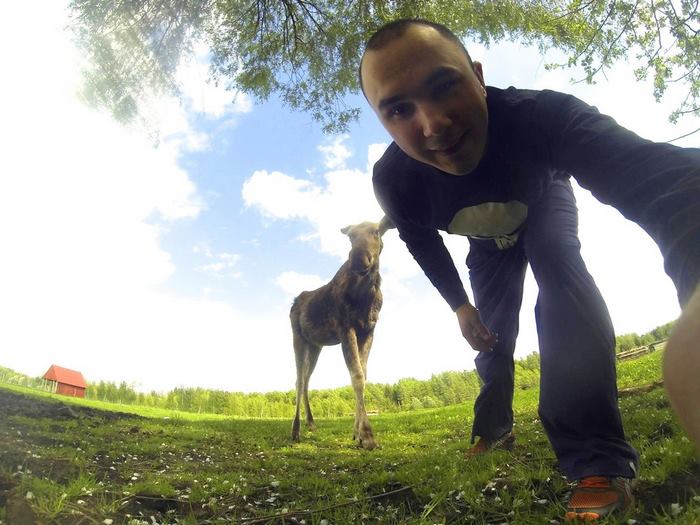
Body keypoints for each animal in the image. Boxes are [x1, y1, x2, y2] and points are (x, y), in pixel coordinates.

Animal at [290, 216, 394, 450]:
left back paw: (311, 423)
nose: (358, 260)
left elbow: (364, 374)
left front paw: (356, 434)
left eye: (376, 231)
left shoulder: (369, 330)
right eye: (351, 236)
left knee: (307, 379)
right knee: (299, 379)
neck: (366, 297)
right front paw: (367, 436)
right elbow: (356, 375)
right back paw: (296, 429)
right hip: (297, 336)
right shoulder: (346, 326)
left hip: (316, 344)